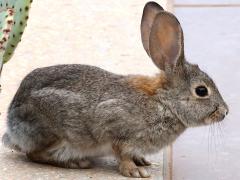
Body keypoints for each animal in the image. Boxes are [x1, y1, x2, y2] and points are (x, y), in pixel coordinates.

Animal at [1, 1, 228, 178]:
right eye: (201, 91)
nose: (225, 112)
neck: (164, 102)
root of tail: (12, 125)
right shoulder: (115, 125)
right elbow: (121, 152)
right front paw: (134, 170)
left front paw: (142, 161)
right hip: (51, 131)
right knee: (34, 154)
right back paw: (76, 163)